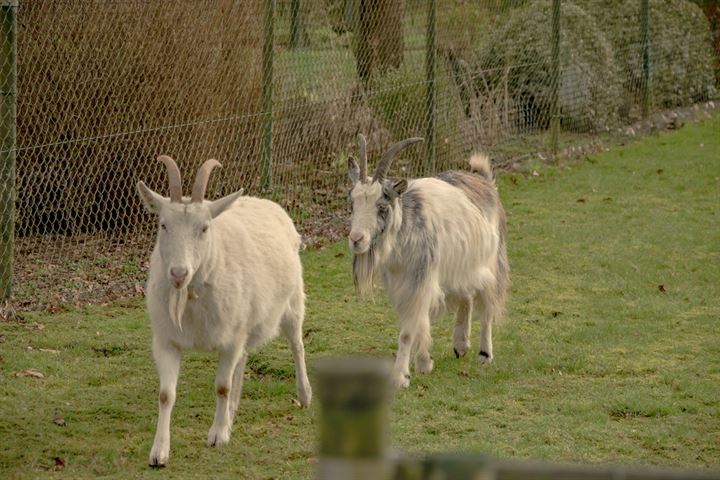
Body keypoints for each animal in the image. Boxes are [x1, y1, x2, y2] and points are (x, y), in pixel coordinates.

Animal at [136, 156, 310, 466]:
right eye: (163, 225)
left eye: (205, 227)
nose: (178, 274)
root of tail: (266, 202)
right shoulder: (167, 340)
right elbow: (166, 394)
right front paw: (159, 451)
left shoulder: (230, 338)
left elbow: (221, 387)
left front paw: (217, 435)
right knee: (242, 361)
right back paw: (232, 412)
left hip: (291, 303)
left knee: (296, 344)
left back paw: (303, 395)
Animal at [348, 134, 506, 386]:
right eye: (352, 203)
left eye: (382, 206)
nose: (356, 239)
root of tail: (484, 180)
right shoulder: (403, 284)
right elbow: (419, 322)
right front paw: (424, 363)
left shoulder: (420, 279)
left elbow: (408, 330)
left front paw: (400, 376)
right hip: (461, 265)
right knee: (467, 296)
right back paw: (460, 345)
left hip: (491, 261)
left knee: (487, 305)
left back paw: (484, 354)